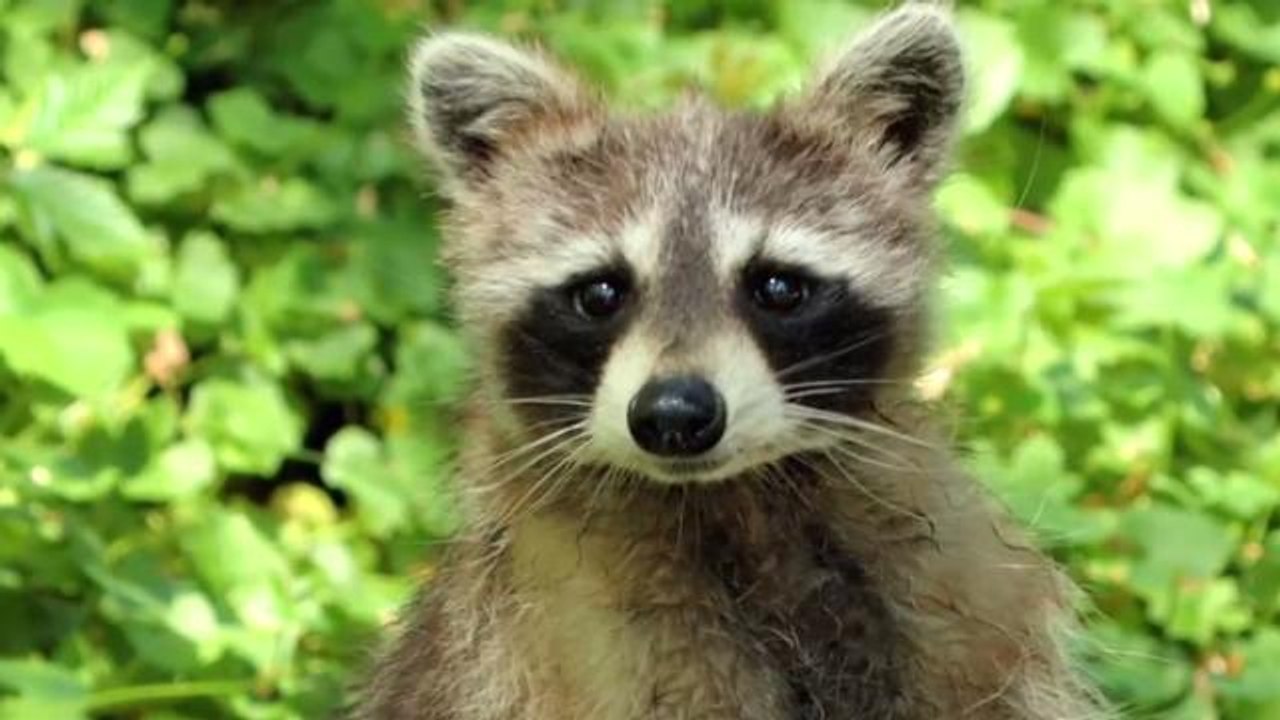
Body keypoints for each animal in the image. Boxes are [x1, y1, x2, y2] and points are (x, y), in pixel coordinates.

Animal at [355, 5, 1105, 719]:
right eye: (600, 293)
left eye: (777, 286)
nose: (675, 414)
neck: (732, 502)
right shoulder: (566, 641)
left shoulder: (960, 612)